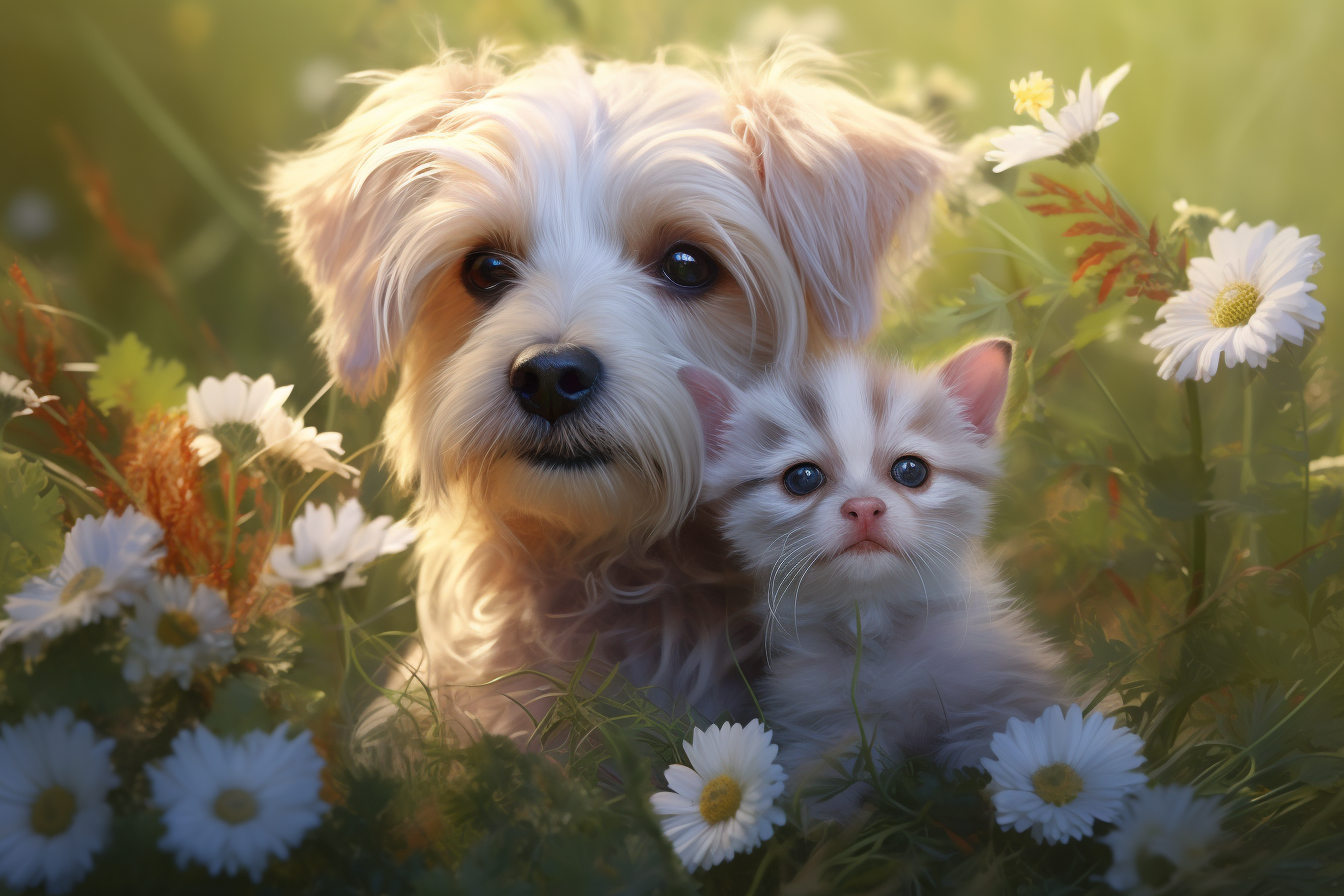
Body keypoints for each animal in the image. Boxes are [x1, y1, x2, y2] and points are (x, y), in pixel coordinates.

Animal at [682, 341, 1059, 822]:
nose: (863, 506)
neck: (877, 628)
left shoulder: (1002, 694)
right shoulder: (825, 725)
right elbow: (817, 792)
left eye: (911, 470)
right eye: (802, 478)